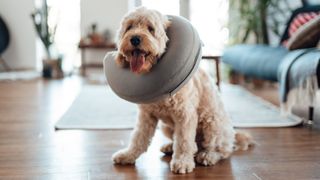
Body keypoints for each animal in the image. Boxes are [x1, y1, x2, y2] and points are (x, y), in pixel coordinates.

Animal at [112, 6, 252, 174]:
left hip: (212, 121)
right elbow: (138, 138)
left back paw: (208, 155)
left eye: (150, 29)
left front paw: (183, 162)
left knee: (221, 150)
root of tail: (233, 134)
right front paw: (128, 155)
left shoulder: (185, 115)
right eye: (129, 27)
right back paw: (170, 147)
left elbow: (184, 141)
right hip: (166, 127)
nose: (135, 39)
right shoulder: (146, 116)